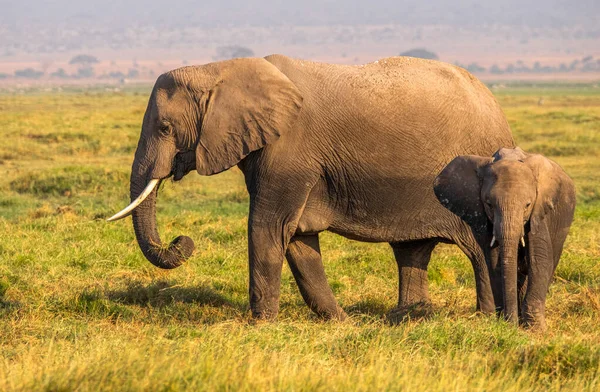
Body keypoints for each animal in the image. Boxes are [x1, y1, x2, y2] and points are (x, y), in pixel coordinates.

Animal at [108, 53, 510, 320]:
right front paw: (341, 322)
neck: (220, 69)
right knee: (412, 249)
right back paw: (410, 318)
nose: (181, 241)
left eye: (164, 128)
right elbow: (298, 240)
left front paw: (260, 325)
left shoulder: (288, 151)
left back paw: (486, 318)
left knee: (478, 248)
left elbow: (268, 228)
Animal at [436, 147, 576, 328]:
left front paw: (535, 329)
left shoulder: (539, 212)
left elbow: (539, 259)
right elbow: (495, 261)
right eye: (489, 204)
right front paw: (505, 323)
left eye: (527, 205)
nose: (511, 323)